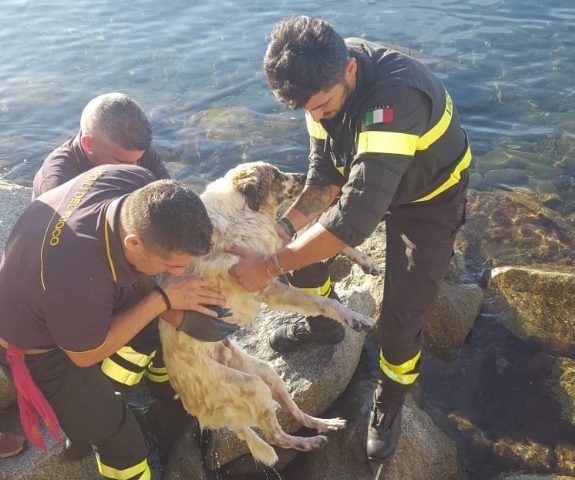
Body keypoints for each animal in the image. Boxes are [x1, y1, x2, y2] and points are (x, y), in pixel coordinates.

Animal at [160, 161, 380, 464]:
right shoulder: (268, 286)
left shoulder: (274, 247)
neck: (242, 212)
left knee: (294, 411)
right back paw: (308, 443)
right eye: (277, 176)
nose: (304, 176)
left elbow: (328, 237)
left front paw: (367, 261)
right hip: (251, 388)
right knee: (275, 437)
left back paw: (324, 425)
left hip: (264, 372)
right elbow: (326, 303)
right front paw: (355, 319)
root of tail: (193, 410)